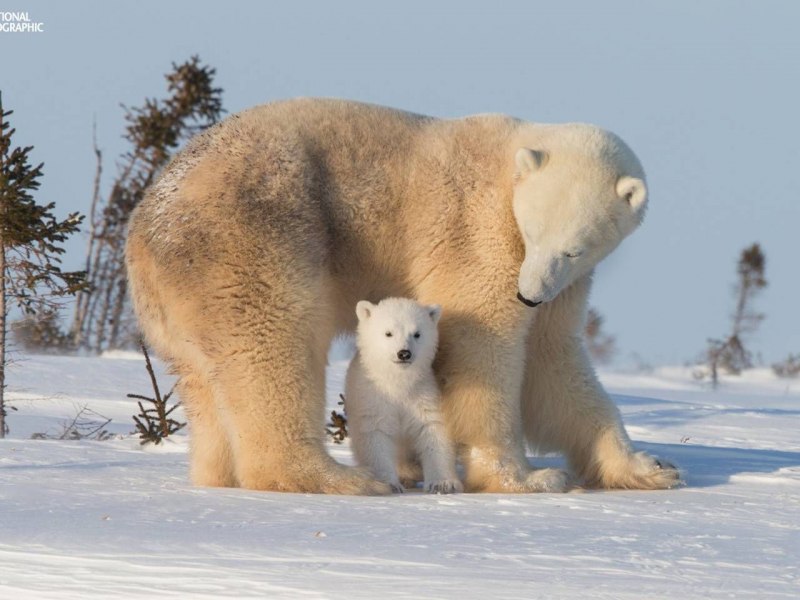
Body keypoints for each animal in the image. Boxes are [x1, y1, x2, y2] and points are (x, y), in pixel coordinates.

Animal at [345, 297, 463, 494]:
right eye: (388, 333)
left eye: (417, 334)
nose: (404, 353)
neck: (398, 384)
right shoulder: (372, 399)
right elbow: (375, 436)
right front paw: (388, 484)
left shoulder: (423, 394)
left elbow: (433, 429)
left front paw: (443, 484)